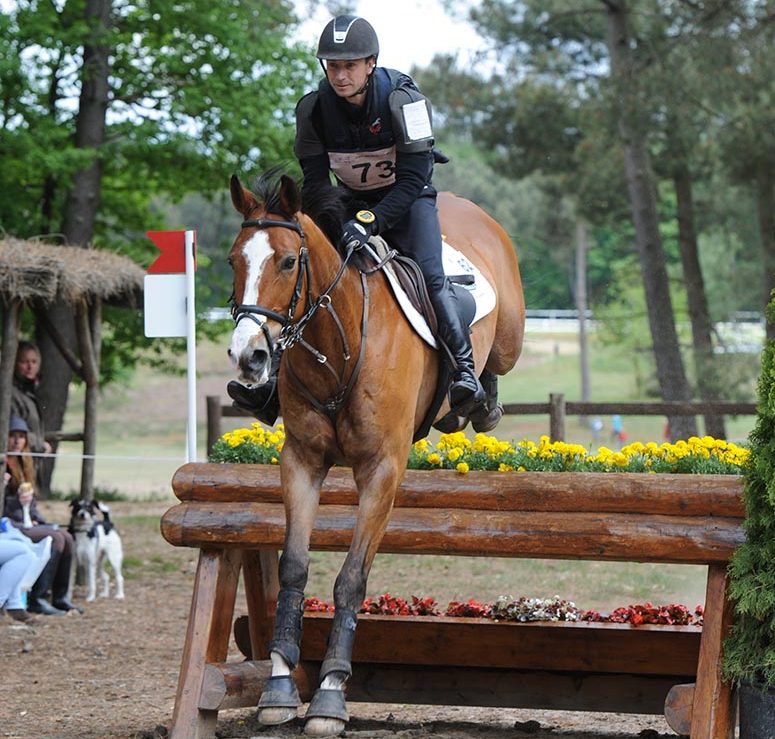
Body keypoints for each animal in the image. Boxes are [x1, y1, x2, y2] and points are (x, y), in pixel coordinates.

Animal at [227, 172, 524, 736]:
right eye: (234, 260)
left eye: (288, 262)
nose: (248, 357)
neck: (337, 343)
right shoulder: (301, 462)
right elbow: (294, 567)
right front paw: (279, 685)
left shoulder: (382, 471)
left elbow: (350, 579)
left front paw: (330, 693)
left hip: (509, 334)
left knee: (496, 357)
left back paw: (476, 396)